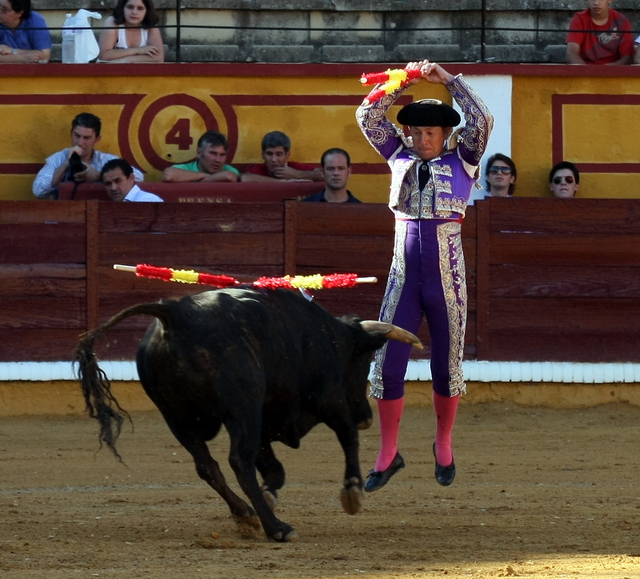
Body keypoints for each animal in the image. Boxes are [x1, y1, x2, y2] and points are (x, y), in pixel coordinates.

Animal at [74, 288, 420, 540]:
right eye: (364, 360)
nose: (366, 417)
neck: (329, 336)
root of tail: (175, 313)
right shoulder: (326, 398)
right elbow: (346, 437)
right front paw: (352, 491)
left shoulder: (266, 419)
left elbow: (273, 467)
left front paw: (267, 496)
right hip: (242, 408)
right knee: (239, 461)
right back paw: (277, 528)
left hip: (177, 417)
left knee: (208, 466)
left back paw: (246, 514)